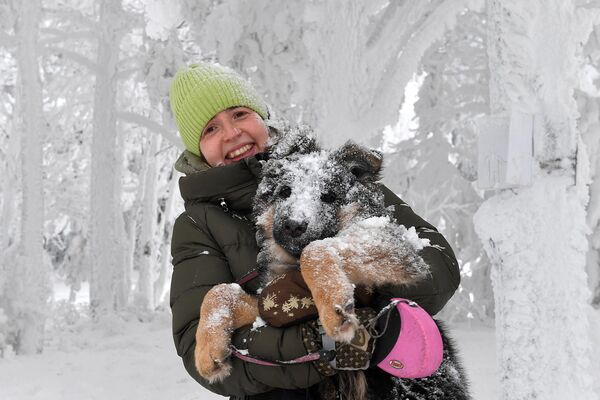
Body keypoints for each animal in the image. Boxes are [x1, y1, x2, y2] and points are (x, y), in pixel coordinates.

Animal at [195, 129, 472, 400]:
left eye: (328, 196)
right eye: (285, 191)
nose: (294, 225)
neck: (292, 266)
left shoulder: (398, 249)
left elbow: (315, 249)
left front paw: (334, 307)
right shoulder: (272, 304)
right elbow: (220, 290)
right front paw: (207, 351)